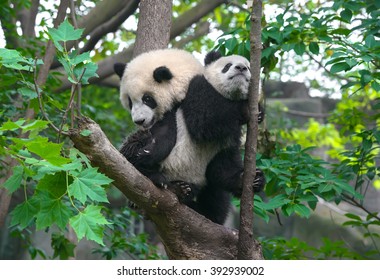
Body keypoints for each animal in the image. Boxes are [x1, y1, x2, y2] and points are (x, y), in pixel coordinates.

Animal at [114, 49, 266, 224]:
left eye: (147, 99)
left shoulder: (224, 143)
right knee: (132, 149)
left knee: (215, 196)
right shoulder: (195, 95)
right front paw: (245, 109)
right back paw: (162, 181)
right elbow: (203, 122)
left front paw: (253, 179)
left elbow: (222, 165)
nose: (241, 68)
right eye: (227, 66)